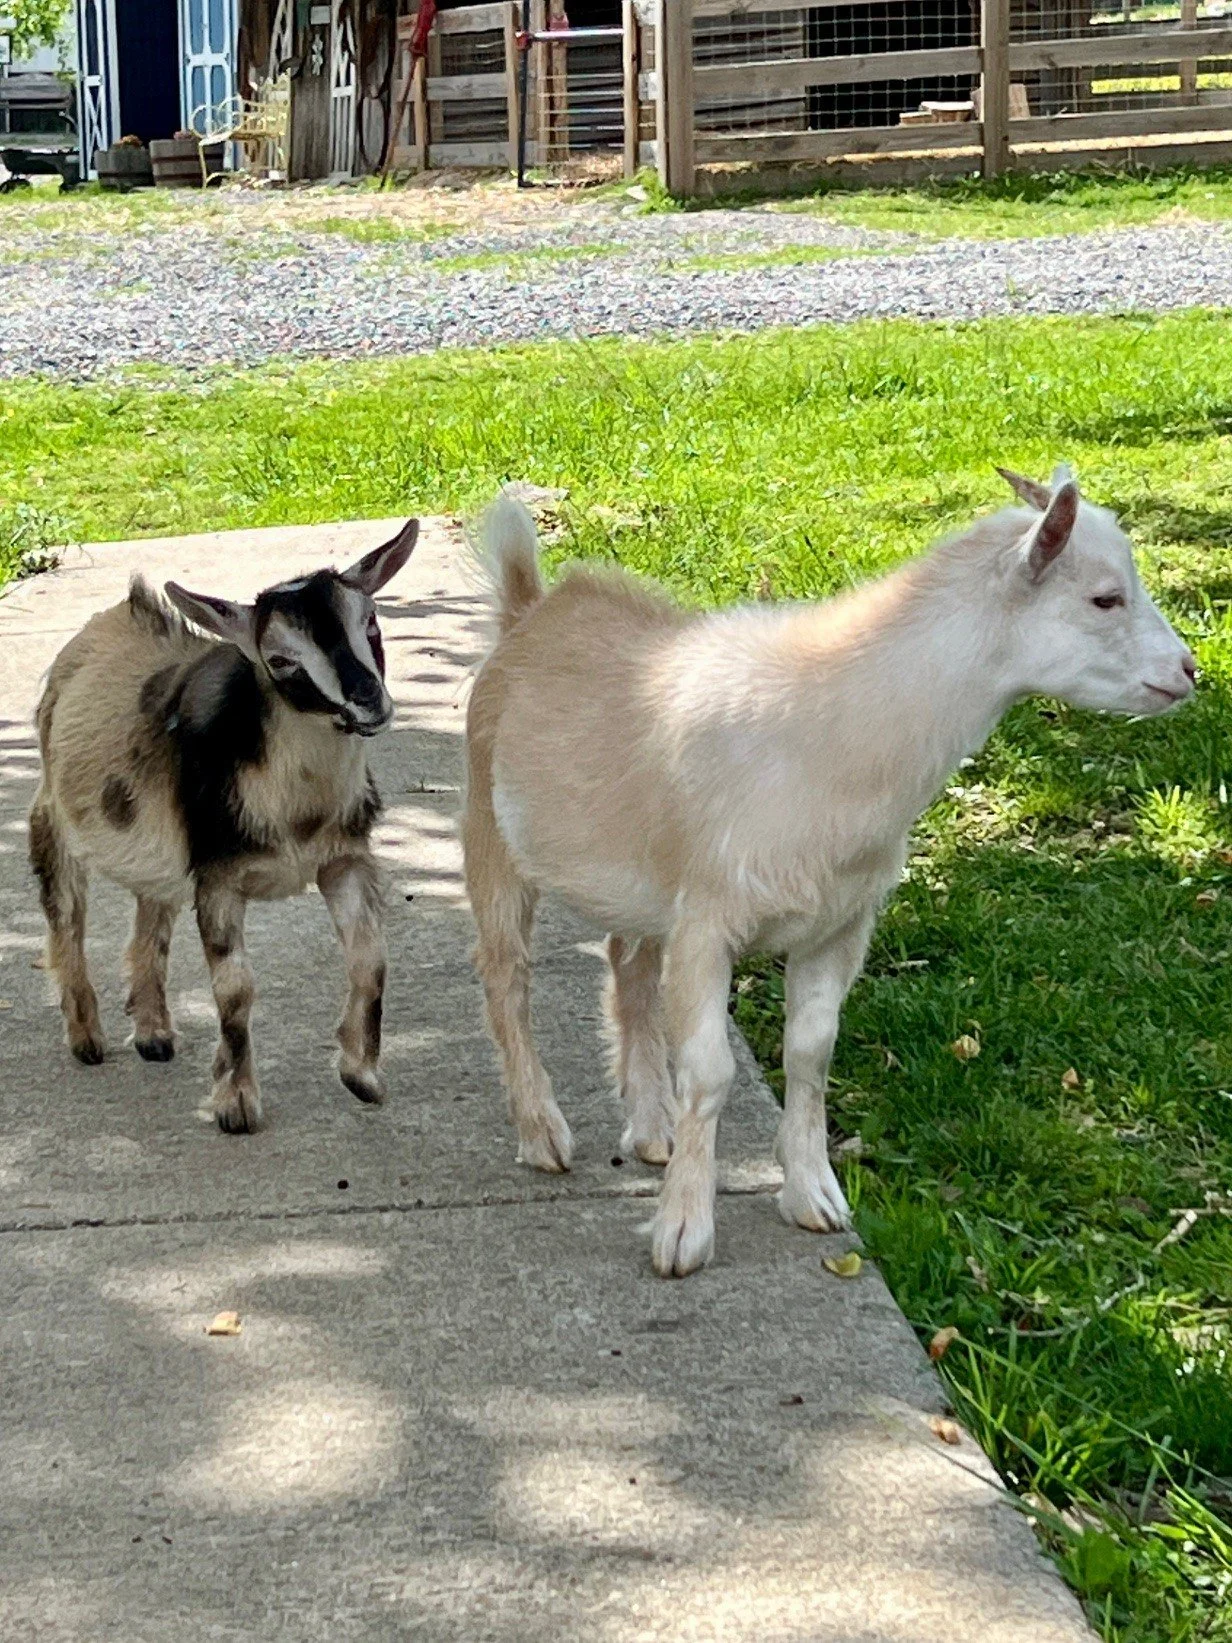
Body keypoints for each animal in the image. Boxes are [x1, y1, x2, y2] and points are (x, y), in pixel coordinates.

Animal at [28, 520, 419, 1133]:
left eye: (372, 623)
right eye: (280, 661)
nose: (368, 703)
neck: (298, 812)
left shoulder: (343, 858)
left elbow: (370, 959)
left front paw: (362, 1077)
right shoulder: (218, 877)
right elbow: (235, 989)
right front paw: (236, 1105)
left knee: (152, 912)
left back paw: (154, 1034)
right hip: (54, 819)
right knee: (66, 917)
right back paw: (87, 1039)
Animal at [463, 470, 1195, 1277]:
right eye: (1105, 598)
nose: (1190, 671)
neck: (829, 731)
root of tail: (529, 610)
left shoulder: (838, 924)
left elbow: (810, 1054)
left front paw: (813, 1195)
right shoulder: (709, 920)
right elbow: (711, 1071)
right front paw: (683, 1232)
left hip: (644, 882)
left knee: (628, 963)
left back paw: (651, 1127)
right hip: (489, 831)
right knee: (506, 975)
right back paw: (543, 1132)